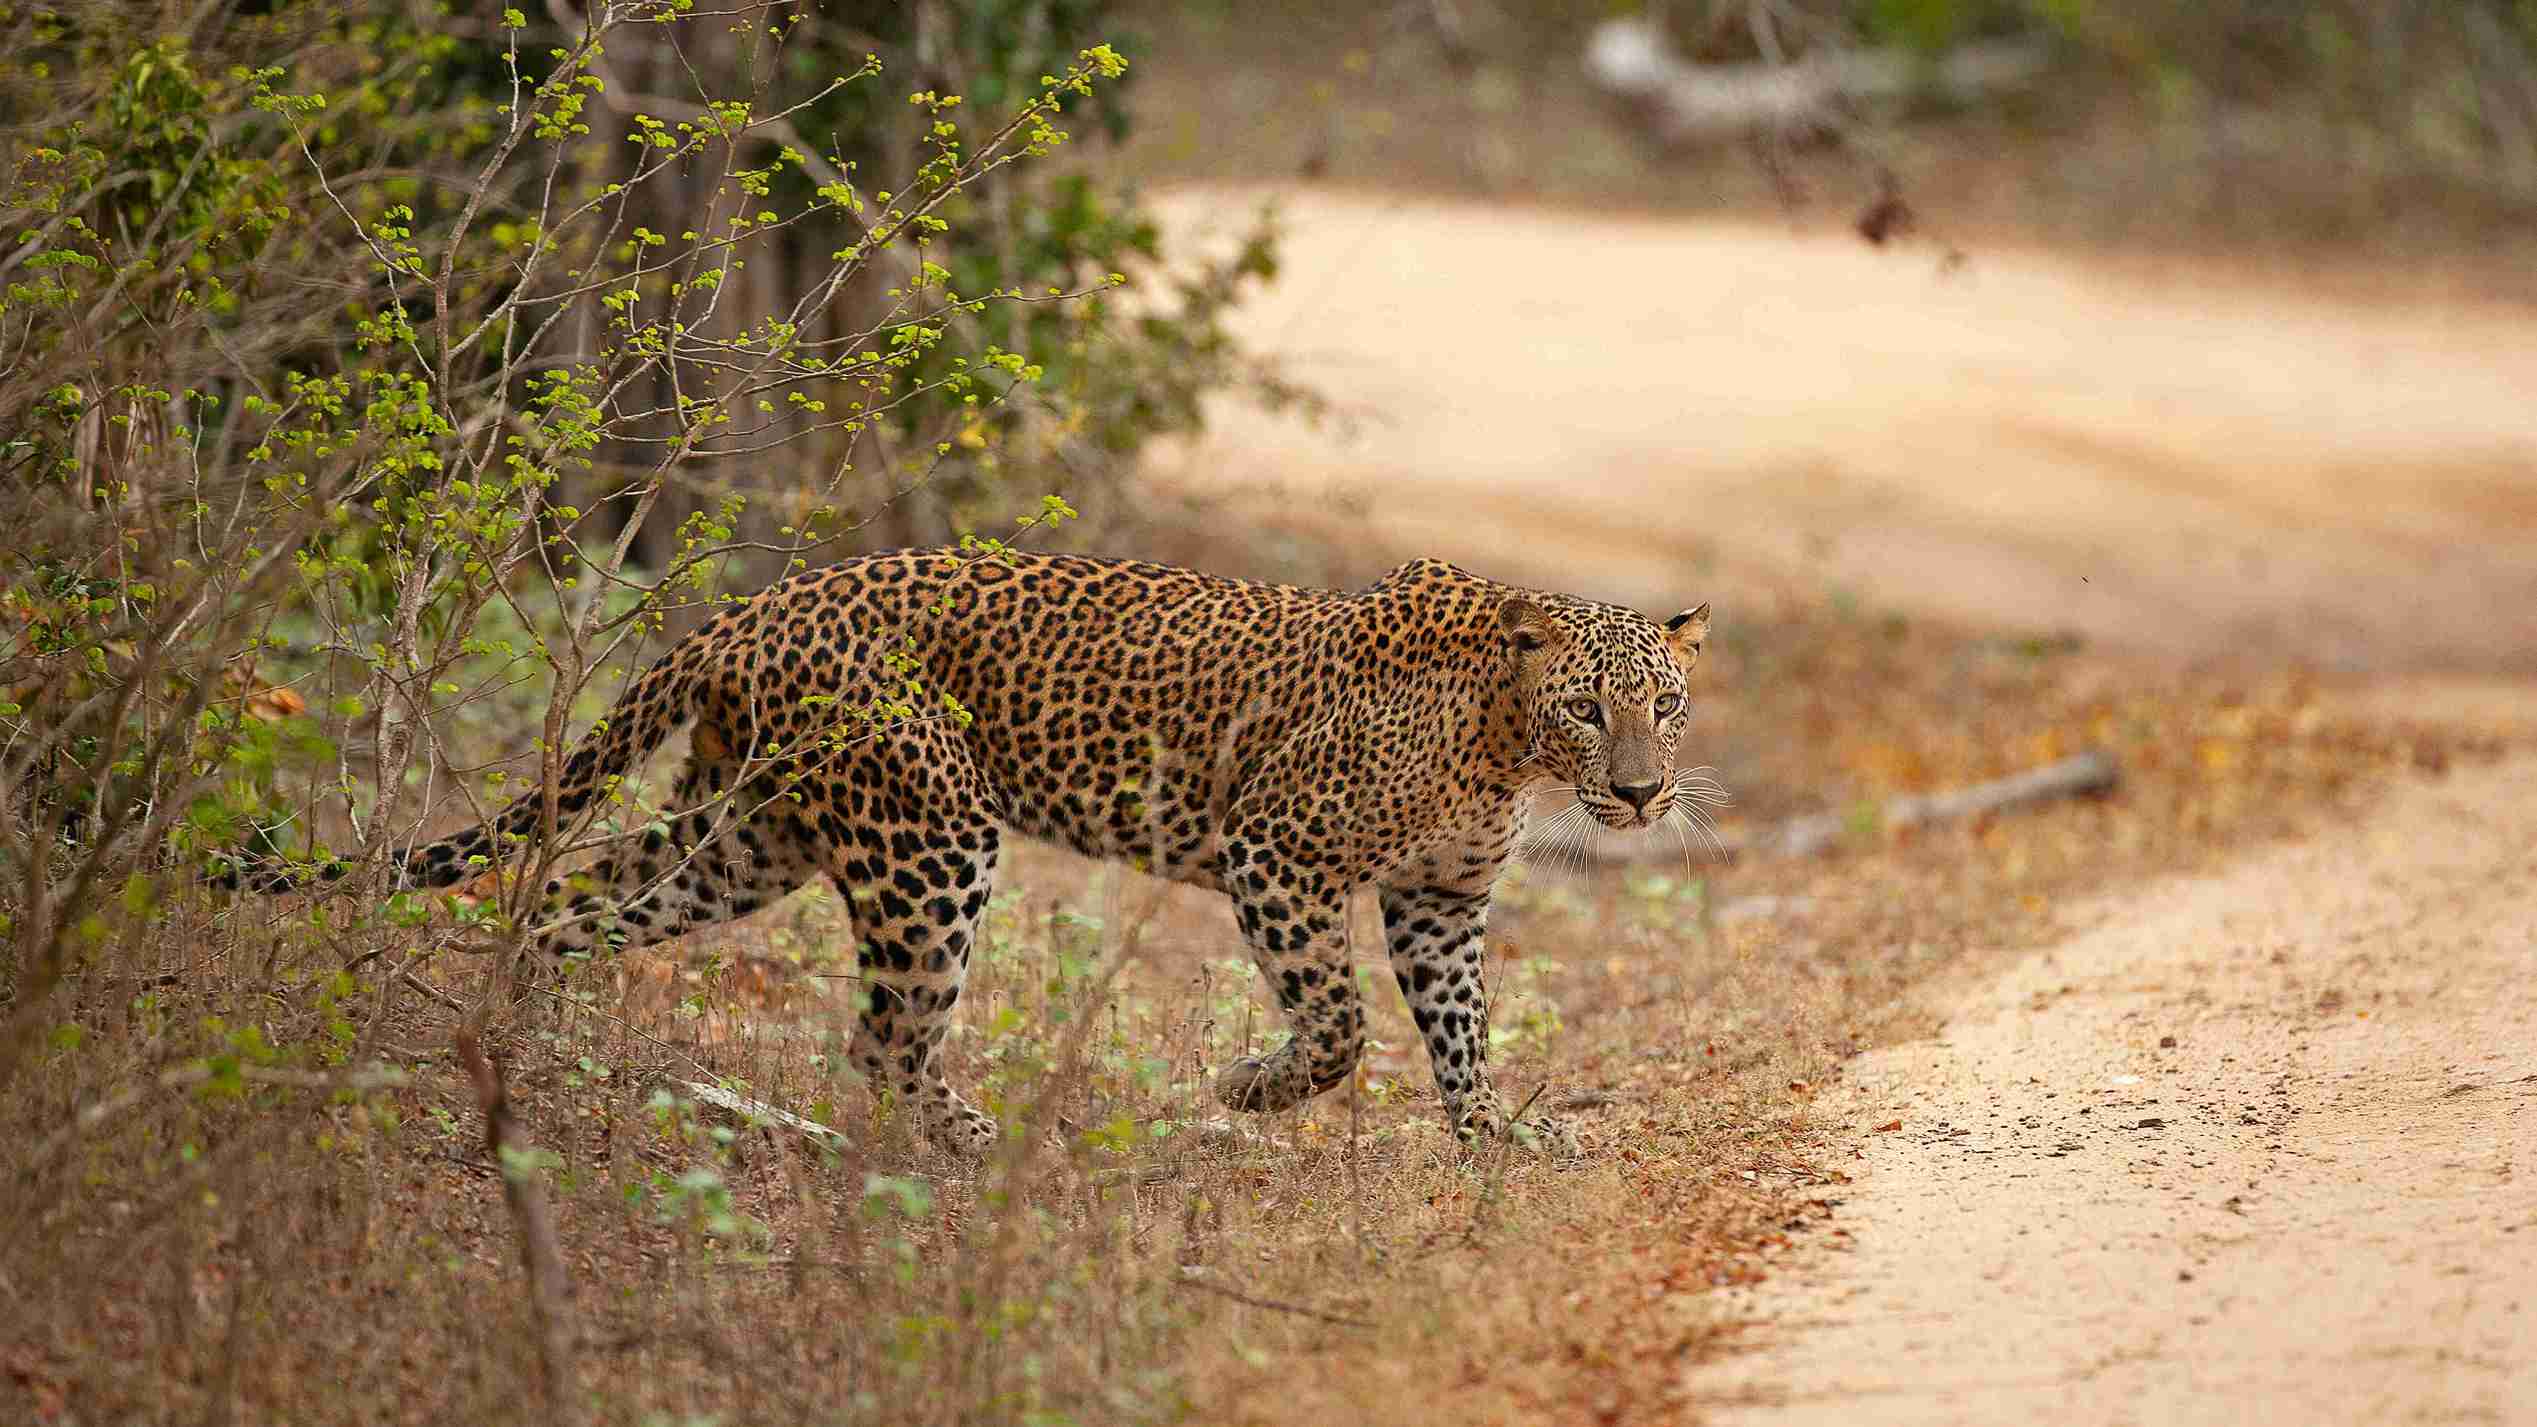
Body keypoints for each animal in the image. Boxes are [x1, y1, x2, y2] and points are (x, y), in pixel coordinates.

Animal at [238, 545, 1715, 1157]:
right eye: (1589, 705)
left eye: (1667, 702)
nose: (1642, 794)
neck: (1505, 740)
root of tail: (751, 610)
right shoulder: (1275, 852)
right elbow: (1342, 1025)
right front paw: (1249, 1089)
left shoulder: (1437, 900)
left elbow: (1462, 1028)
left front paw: (1492, 1141)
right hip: (930, 834)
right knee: (882, 1036)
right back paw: (982, 1140)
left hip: (745, 833)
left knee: (568, 905)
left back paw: (522, 1046)